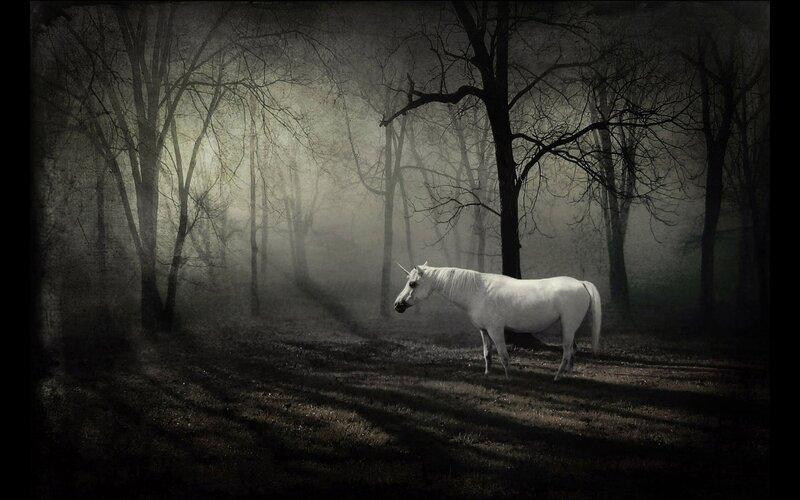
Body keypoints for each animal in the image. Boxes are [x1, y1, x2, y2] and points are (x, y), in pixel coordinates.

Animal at [393, 262, 601, 381]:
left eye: (412, 284)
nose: (397, 305)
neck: (478, 291)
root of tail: (581, 283)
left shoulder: (496, 330)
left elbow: (503, 355)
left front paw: (508, 378)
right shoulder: (484, 331)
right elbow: (488, 354)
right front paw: (487, 373)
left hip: (568, 327)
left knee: (566, 352)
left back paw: (557, 377)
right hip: (571, 328)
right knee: (572, 351)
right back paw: (567, 374)